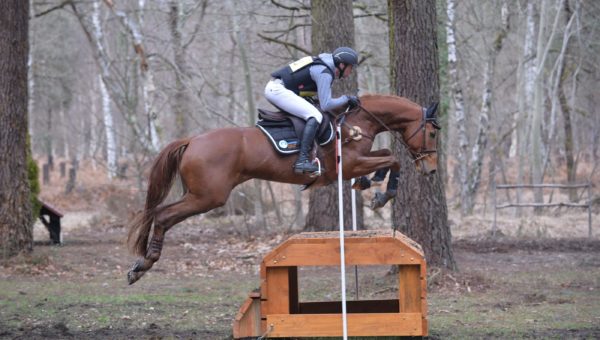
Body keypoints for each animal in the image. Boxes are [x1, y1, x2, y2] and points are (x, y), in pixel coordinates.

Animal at [126, 93, 438, 284]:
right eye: (433, 133)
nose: (432, 169)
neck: (357, 122)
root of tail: (192, 140)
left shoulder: (358, 161)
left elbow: (386, 154)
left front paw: (372, 184)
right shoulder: (348, 165)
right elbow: (394, 158)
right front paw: (382, 194)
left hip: (200, 194)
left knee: (160, 213)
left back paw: (141, 264)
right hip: (208, 196)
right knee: (163, 215)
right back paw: (143, 265)